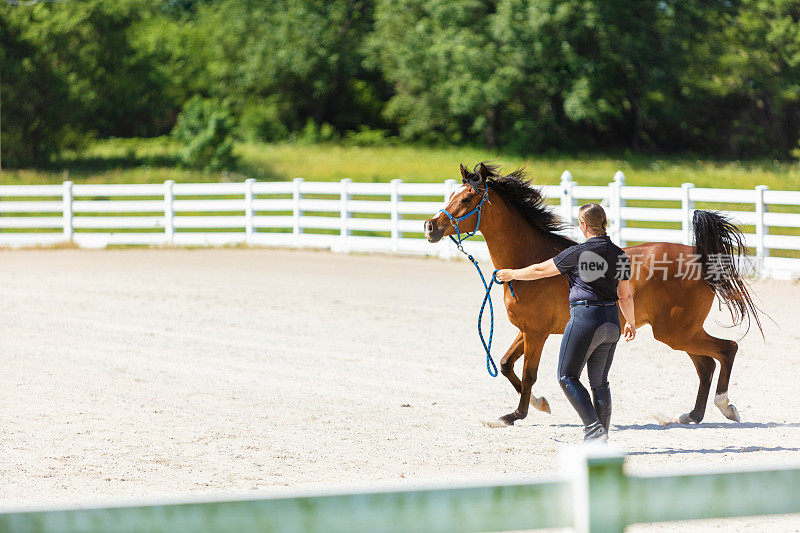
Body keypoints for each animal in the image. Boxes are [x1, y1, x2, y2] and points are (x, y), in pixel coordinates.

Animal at [422, 162, 760, 424]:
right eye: (452, 195)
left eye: (467, 198)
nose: (430, 227)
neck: (529, 261)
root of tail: (700, 258)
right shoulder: (527, 330)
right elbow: (505, 364)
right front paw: (540, 403)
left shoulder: (537, 333)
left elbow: (529, 373)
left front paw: (515, 415)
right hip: (681, 332)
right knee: (707, 365)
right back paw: (692, 415)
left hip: (677, 332)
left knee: (726, 350)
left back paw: (725, 407)